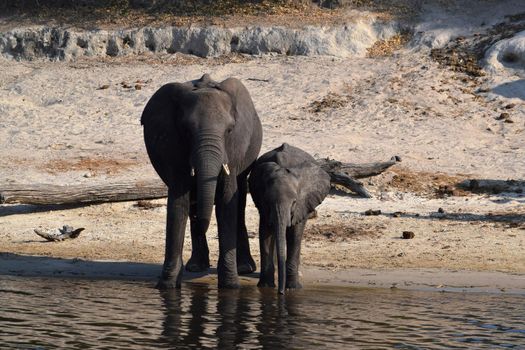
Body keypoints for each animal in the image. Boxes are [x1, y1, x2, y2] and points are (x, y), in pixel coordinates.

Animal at [141, 72, 262, 288]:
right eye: (186, 131)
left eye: (229, 130)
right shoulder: (173, 145)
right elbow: (178, 202)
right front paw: (167, 286)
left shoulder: (234, 148)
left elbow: (226, 200)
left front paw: (230, 286)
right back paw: (196, 266)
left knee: (239, 199)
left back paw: (244, 268)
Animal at [249, 142, 330, 292]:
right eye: (268, 201)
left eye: (294, 202)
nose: (280, 293)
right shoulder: (262, 203)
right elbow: (265, 232)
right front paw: (266, 287)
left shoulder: (302, 204)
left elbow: (294, 234)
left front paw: (293, 288)